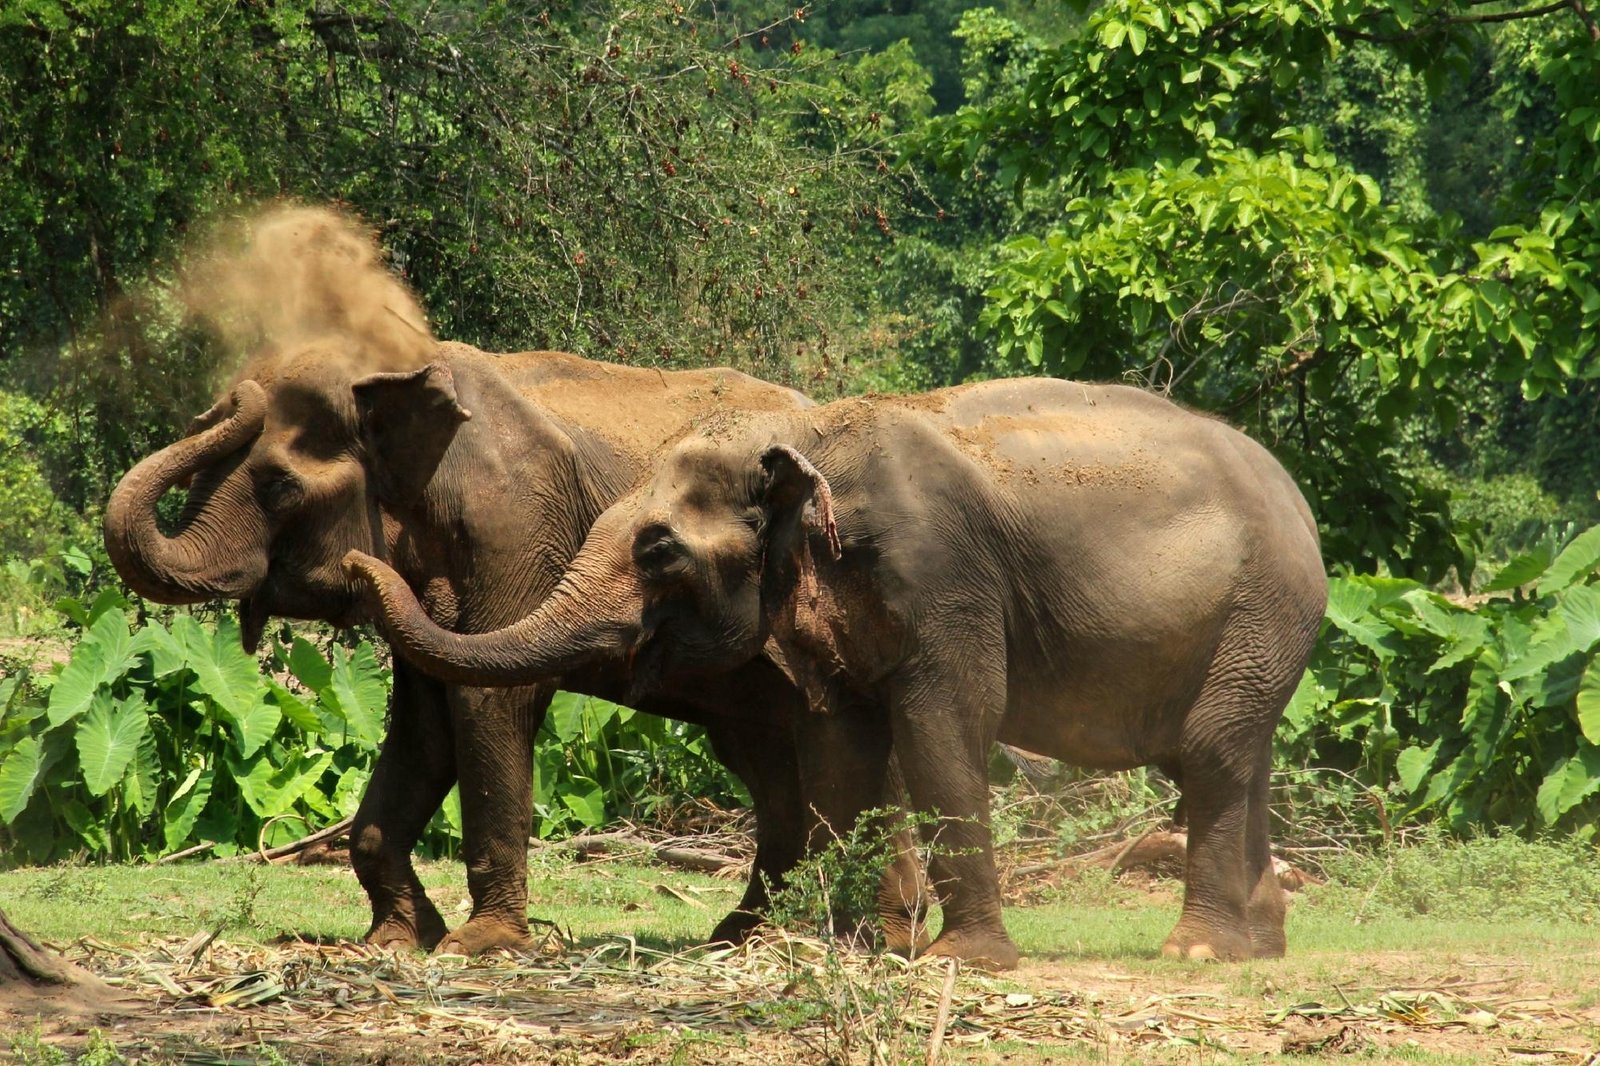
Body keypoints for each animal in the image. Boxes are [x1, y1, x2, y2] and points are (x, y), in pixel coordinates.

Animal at [104, 341, 928, 955]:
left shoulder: (514, 523)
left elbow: (489, 703)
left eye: (277, 486)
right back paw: (743, 937)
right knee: (766, 761)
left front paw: (483, 947)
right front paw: (396, 940)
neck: (399, 369)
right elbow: (425, 723)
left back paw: (875, 936)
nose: (228, 396)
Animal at [344, 376, 1328, 969]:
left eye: (658, 550)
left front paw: (958, 963)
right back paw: (1261, 945)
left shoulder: (943, 575)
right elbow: (843, 745)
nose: (360, 562)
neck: (812, 435)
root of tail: (1302, 505)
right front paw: (843, 948)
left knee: (1210, 750)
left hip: (1266, 606)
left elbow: (944, 728)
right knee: (1234, 755)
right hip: (1258, 628)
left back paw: (1197, 953)